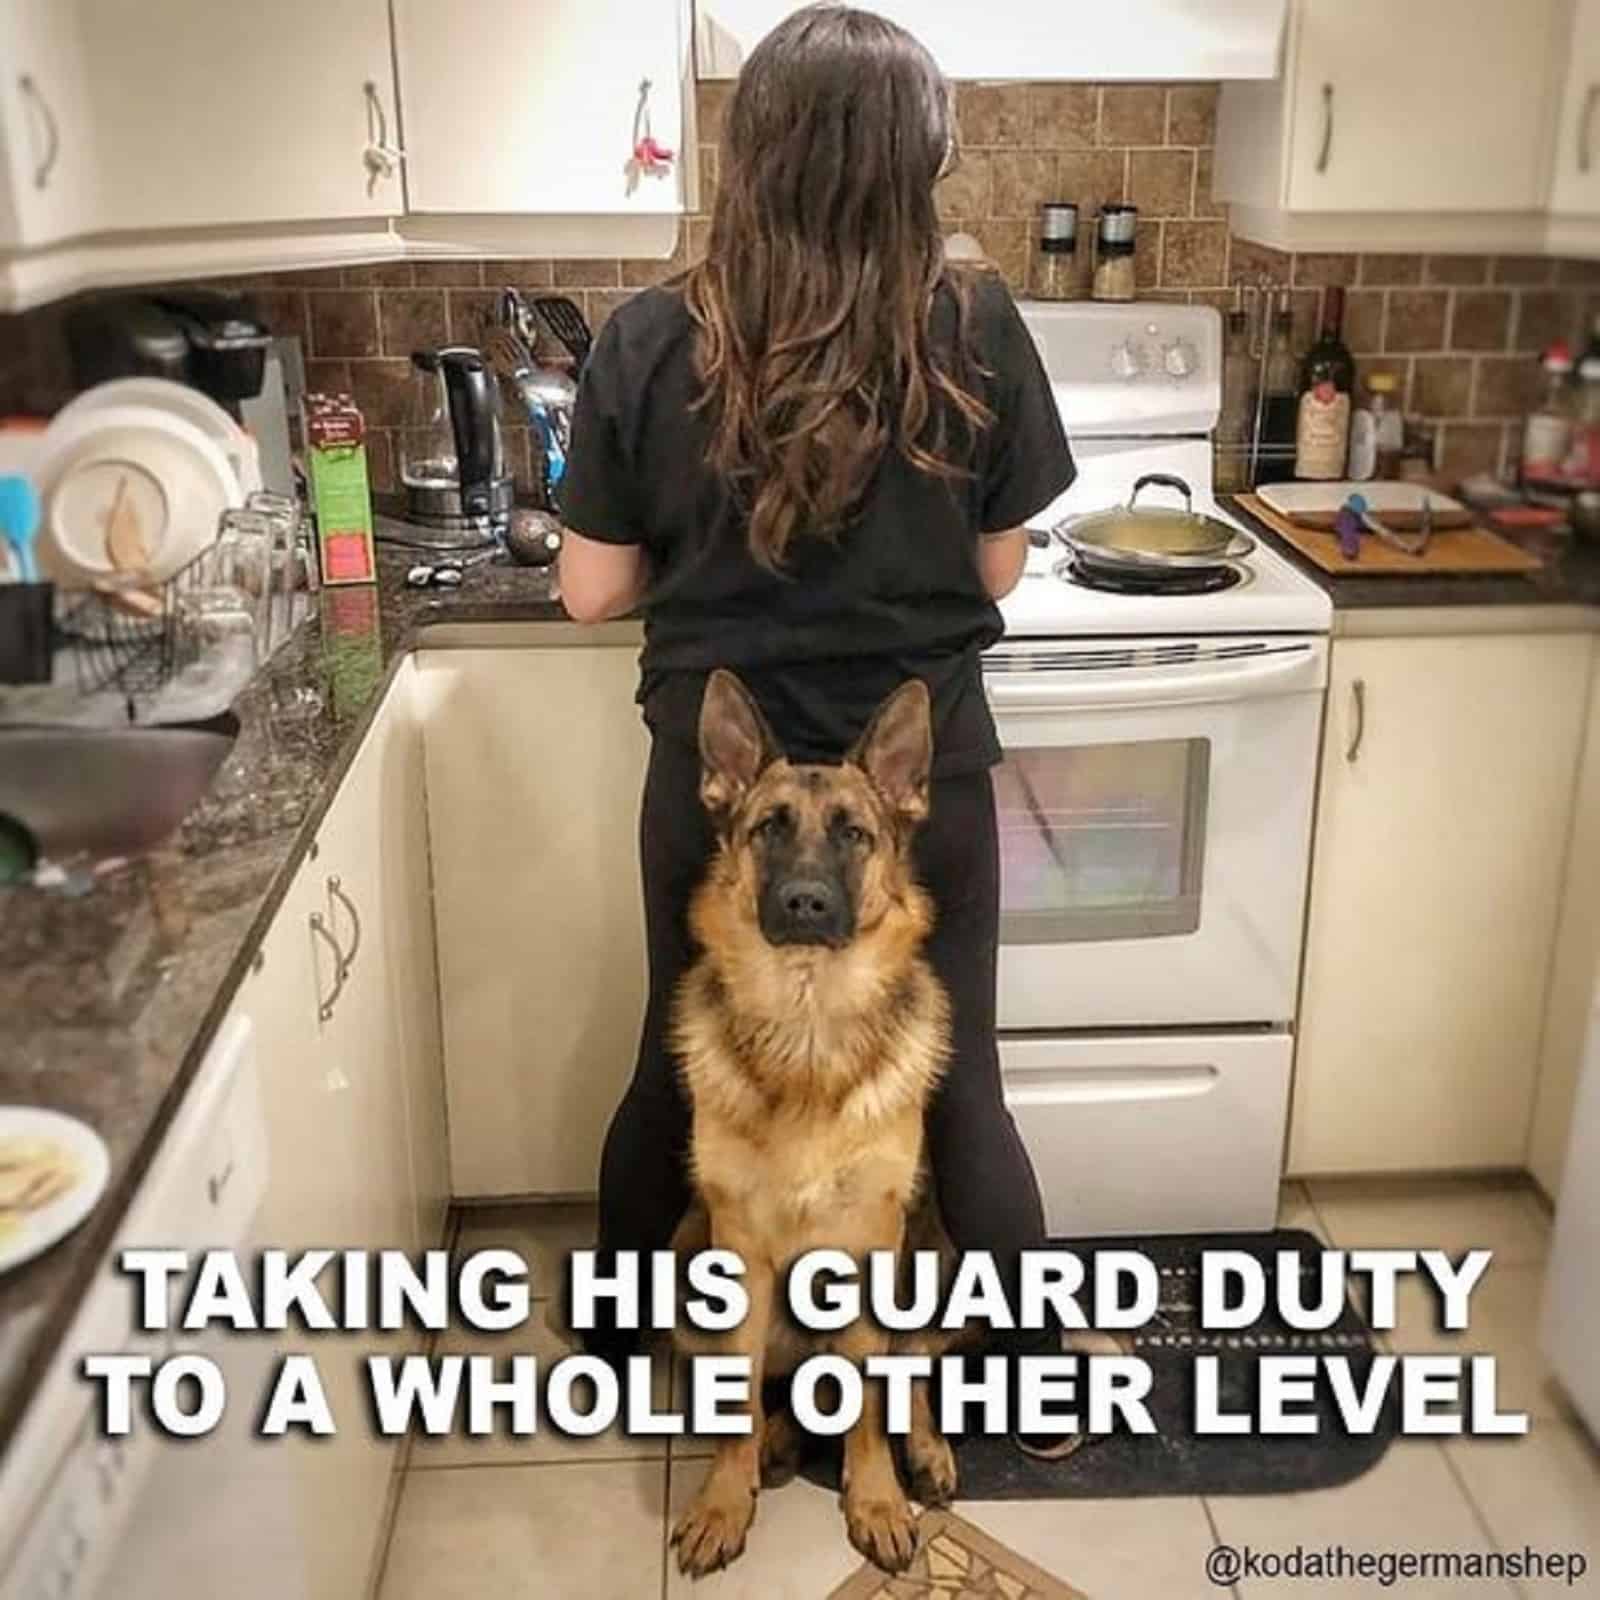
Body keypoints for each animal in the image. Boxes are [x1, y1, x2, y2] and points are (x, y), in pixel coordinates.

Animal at [665, 672, 960, 1574]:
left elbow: (870, 1404)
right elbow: (734, 1405)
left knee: (906, 1379)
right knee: (778, 1392)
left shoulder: (871, 1255)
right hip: (684, 1263)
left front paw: (876, 1501)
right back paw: (775, 1443)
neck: (806, 1030)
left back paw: (923, 1451)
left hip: (936, 1267)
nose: (805, 902)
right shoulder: (734, 1255)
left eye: (854, 835)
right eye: (768, 828)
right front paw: (724, 1505)